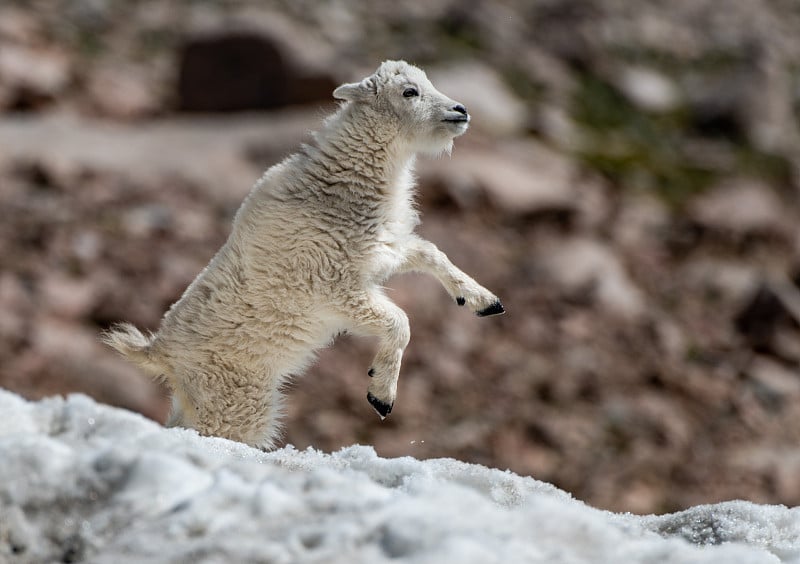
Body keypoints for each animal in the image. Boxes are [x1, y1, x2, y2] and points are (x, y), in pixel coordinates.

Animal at [103, 60, 504, 450]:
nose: (460, 111)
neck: (342, 185)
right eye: (409, 91)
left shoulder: (383, 253)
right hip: (234, 403)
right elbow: (399, 321)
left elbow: (431, 254)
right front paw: (380, 395)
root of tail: (159, 353)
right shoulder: (334, 287)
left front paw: (484, 301)